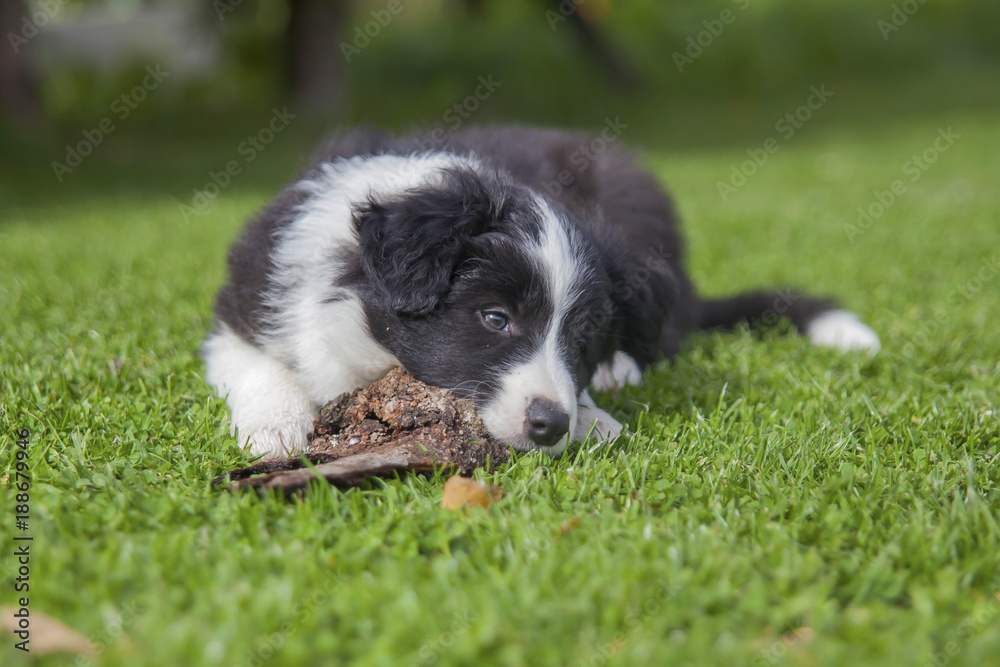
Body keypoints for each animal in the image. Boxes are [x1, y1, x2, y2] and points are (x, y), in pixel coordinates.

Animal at [203, 125, 876, 460]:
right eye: (496, 319)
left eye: (581, 337)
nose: (551, 424)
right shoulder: (242, 304)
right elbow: (257, 364)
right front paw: (277, 429)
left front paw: (592, 415)